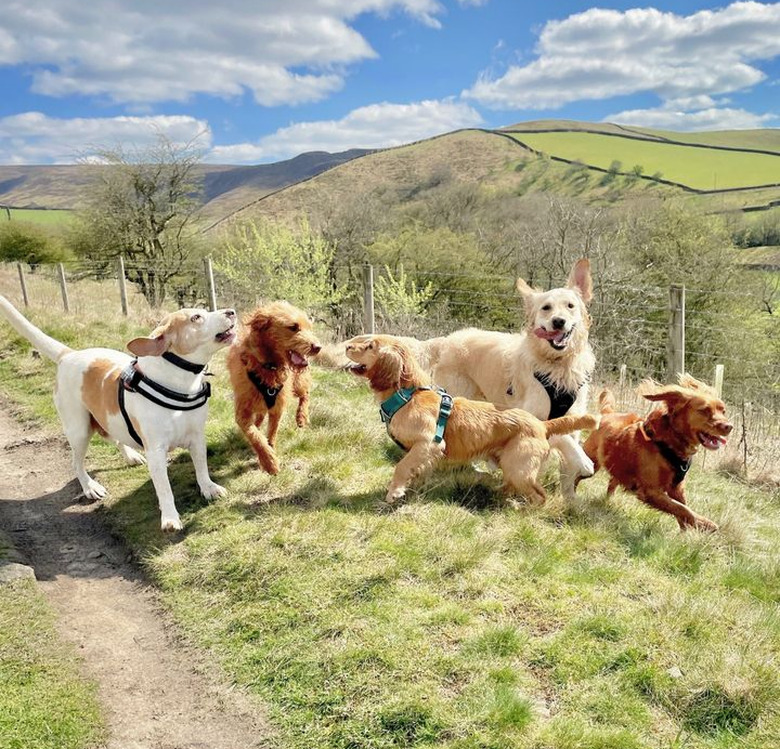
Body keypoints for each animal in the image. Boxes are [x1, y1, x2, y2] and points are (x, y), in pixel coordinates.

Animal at [0, 294, 238, 532]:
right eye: (196, 317)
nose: (232, 311)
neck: (179, 383)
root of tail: (69, 355)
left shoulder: (197, 438)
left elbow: (201, 468)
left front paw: (209, 488)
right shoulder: (155, 452)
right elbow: (164, 489)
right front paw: (170, 518)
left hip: (105, 420)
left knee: (115, 437)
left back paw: (130, 456)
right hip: (79, 430)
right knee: (77, 463)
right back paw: (90, 487)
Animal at [227, 300, 322, 470]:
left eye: (309, 328)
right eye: (293, 327)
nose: (318, 347)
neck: (268, 366)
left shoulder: (277, 407)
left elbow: (271, 432)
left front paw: (269, 457)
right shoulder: (242, 411)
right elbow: (254, 435)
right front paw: (269, 461)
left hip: (297, 383)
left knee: (305, 394)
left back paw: (302, 417)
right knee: (259, 418)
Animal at [424, 260, 596, 500]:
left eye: (570, 306)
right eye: (546, 308)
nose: (558, 322)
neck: (557, 364)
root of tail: (447, 340)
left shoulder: (575, 417)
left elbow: (567, 462)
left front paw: (570, 498)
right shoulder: (532, 416)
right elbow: (562, 439)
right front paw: (584, 461)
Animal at [580, 374, 736, 532]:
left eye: (723, 411)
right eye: (704, 410)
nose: (729, 426)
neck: (670, 445)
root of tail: (608, 413)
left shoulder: (676, 488)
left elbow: (682, 508)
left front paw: (686, 532)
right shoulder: (651, 491)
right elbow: (682, 509)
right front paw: (705, 524)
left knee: (612, 482)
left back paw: (609, 501)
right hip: (591, 464)